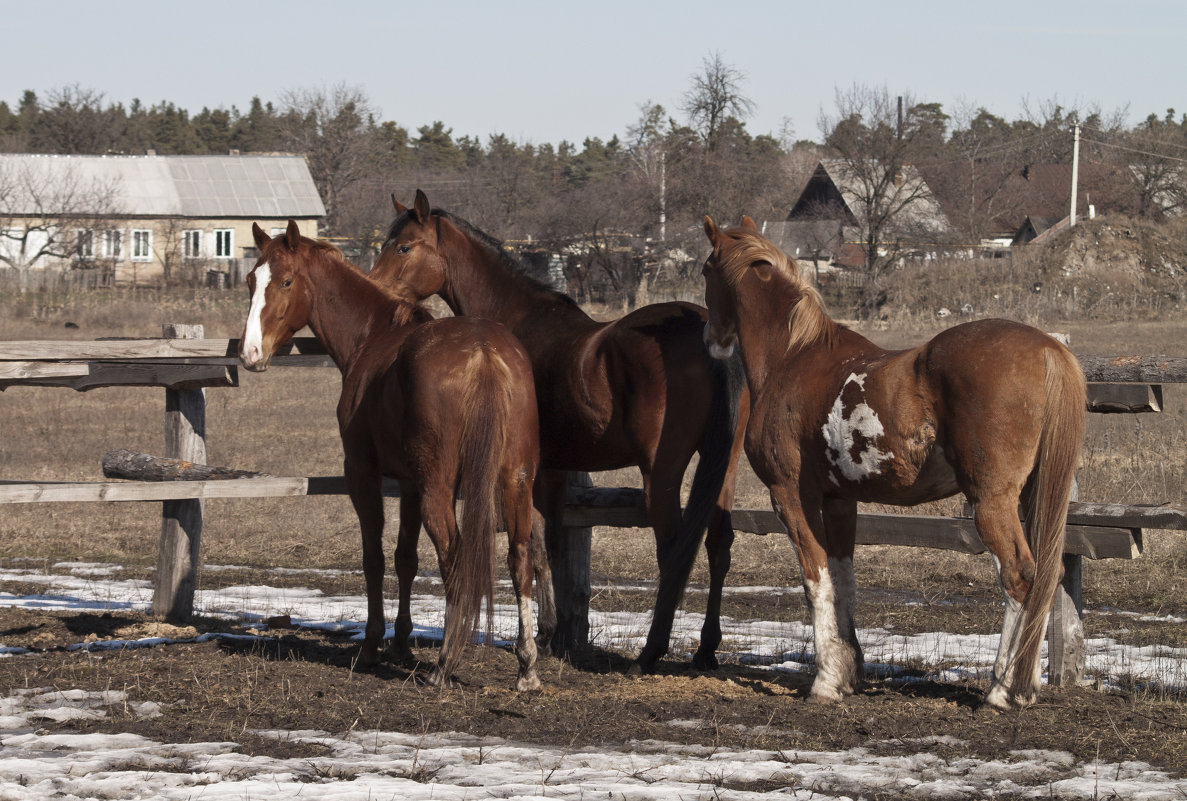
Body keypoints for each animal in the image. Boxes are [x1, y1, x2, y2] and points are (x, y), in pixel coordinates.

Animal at [237, 218, 550, 688]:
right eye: (251, 281)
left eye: (287, 281)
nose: (250, 353)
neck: (374, 336)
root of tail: (484, 353)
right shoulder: (407, 484)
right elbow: (406, 559)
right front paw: (400, 643)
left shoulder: (363, 476)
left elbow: (374, 559)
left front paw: (372, 645)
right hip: (514, 481)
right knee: (520, 556)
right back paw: (526, 665)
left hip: (439, 489)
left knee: (454, 556)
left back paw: (444, 664)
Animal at [697, 215, 1087, 711]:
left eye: (706, 270)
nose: (710, 339)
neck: (793, 356)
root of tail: (1047, 349)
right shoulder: (840, 500)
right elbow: (843, 578)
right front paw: (848, 673)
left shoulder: (789, 495)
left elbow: (815, 579)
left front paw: (825, 681)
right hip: (1032, 495)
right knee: (1047, 578)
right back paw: (1025, 685)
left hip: (992, 502)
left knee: (1020, 576)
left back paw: (1002, 690)